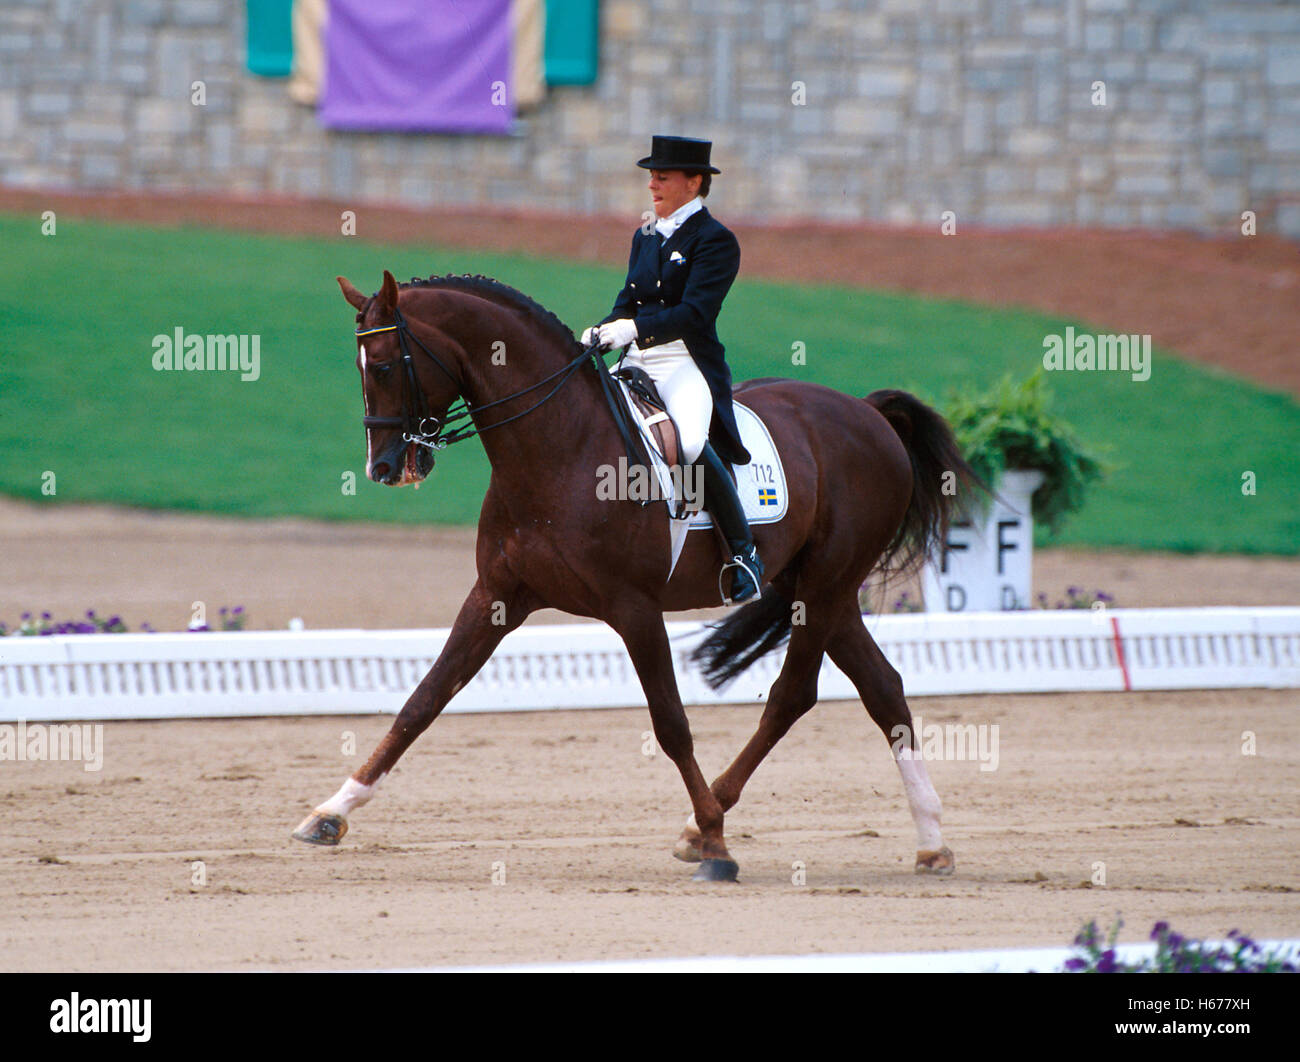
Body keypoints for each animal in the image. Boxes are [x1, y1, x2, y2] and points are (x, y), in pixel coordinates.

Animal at [295, 269, 977, 883]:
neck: (557, 445)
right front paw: (329, 814)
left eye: (385, 367)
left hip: (826, 584)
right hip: (815, 589)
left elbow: (671, 724)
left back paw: (705, 827)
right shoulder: (495, 597)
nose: (384, 467)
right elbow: (423, 701)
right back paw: (932, 843)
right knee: (881, 688)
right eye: (359, 367)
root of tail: (867, 413)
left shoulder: (634, 608)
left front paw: (717, 846)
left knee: (793, 695)